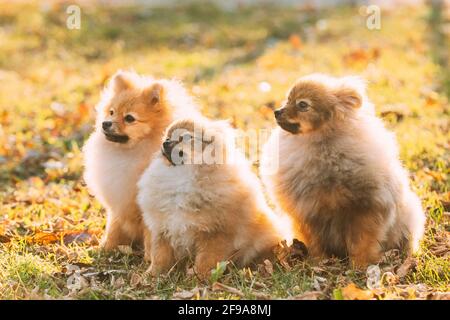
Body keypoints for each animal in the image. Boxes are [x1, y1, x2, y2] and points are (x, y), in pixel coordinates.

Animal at [82, 70, 199, 258]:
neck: (131, 154)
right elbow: (113, 228)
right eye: (112, 112)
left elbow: (150, 235)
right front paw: (106, 248)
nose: (105, 123)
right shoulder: (119, 203)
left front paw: (149, 258)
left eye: (129, 118)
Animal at [138, 117, 284, 278]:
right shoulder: (163, 229)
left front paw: (201, 277)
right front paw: (151, 275)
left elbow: (207, 260)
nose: (165, 143)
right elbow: (160, 257)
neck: (183, 175)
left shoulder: (215, 234)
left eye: (186, 137)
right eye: (167, 137)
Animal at [260, 74, 426, 268]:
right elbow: (315, 243)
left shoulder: (365, 208)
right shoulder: (308, 212)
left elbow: (362, 242)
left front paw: (360, 265)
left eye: (302, 104)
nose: (277, 111)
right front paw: (318, 262)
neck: (321, 148)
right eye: (288, 100)